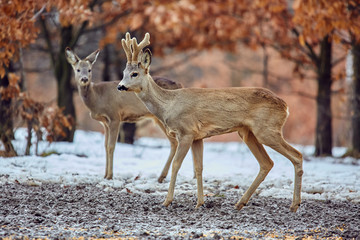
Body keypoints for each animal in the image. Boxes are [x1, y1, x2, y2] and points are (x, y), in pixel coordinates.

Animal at [64, 47, 186, 182]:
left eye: (89, 69)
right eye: (78, 69)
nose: (84, 79)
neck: (97, 97)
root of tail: (180, 85)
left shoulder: (114, 116)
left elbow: (111, 146)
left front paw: (110, 176)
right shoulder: (105, 123)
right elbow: (105, 146)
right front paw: (105, 175)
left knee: (175, 141)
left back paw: (163, 176)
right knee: (175, 142)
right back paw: (163, 177)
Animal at [116, 31, 302, 212]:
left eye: (135, 73)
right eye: (123, 73)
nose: (120, 86)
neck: (169, 104)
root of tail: (285, 106)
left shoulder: (186, 132)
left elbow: (177, 164)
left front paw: (167, 201)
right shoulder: (197, 137)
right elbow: (198, 167)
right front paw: (200, 203)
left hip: (267, 130)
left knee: (297, 155)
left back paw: (294, 205)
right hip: (248, 133)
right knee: (266, 163)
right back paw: (240, 203)